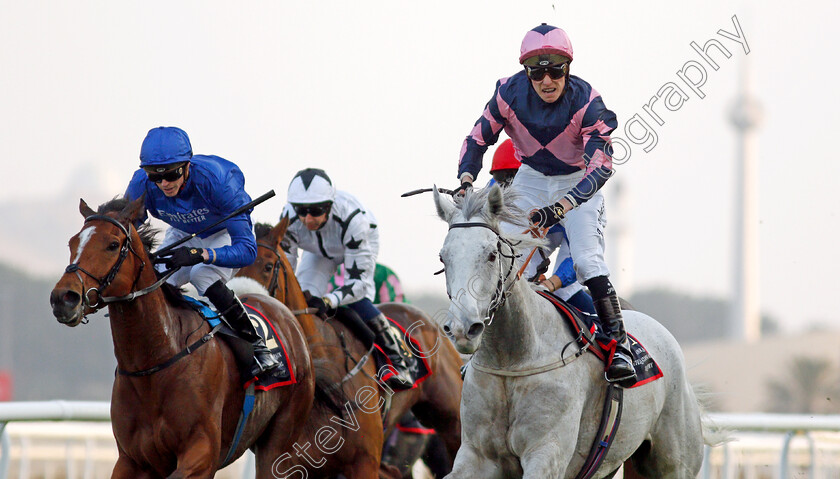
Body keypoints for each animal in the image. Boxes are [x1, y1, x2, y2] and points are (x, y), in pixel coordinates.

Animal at [50, 197, 318, 478]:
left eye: (113, 245)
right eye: (72, 242)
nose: (63, 298)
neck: (155, 362)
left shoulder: (202, 453)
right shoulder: (131, 459)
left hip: (280, 440)